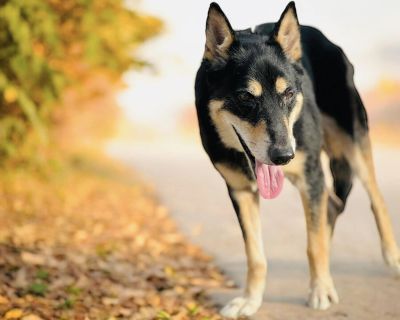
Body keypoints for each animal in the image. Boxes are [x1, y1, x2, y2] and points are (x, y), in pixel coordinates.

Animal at [195, 1, 400, 318]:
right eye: (245, 97)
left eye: (289, 93)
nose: (283, 156)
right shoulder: (240, 191)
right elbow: (255, 255)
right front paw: (250, 300)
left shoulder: (310, 175)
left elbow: (313, 246)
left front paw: (321, 289)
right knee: (332, 206)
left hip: (353, 144)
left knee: (375, 199)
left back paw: (390, 256)